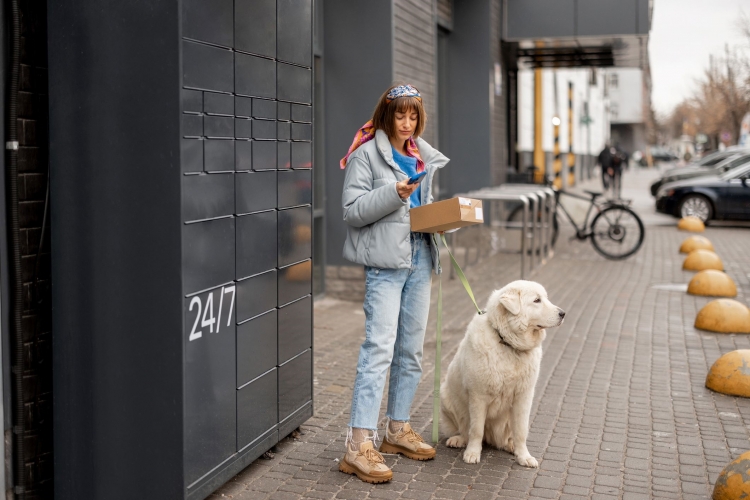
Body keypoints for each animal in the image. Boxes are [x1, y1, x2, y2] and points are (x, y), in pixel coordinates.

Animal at [440, 280, 564, 466]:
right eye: (537, 300)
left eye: (545, 298)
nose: (563, 313)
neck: (507, 343)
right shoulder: (478, 396)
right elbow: (476, 429)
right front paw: (473, 453)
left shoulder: (523, 397)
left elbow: (521, 431)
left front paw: (524, 456)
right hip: (445, 397)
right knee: (464, 429)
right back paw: (459, 440)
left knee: (507, 437)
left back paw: (510, 446)